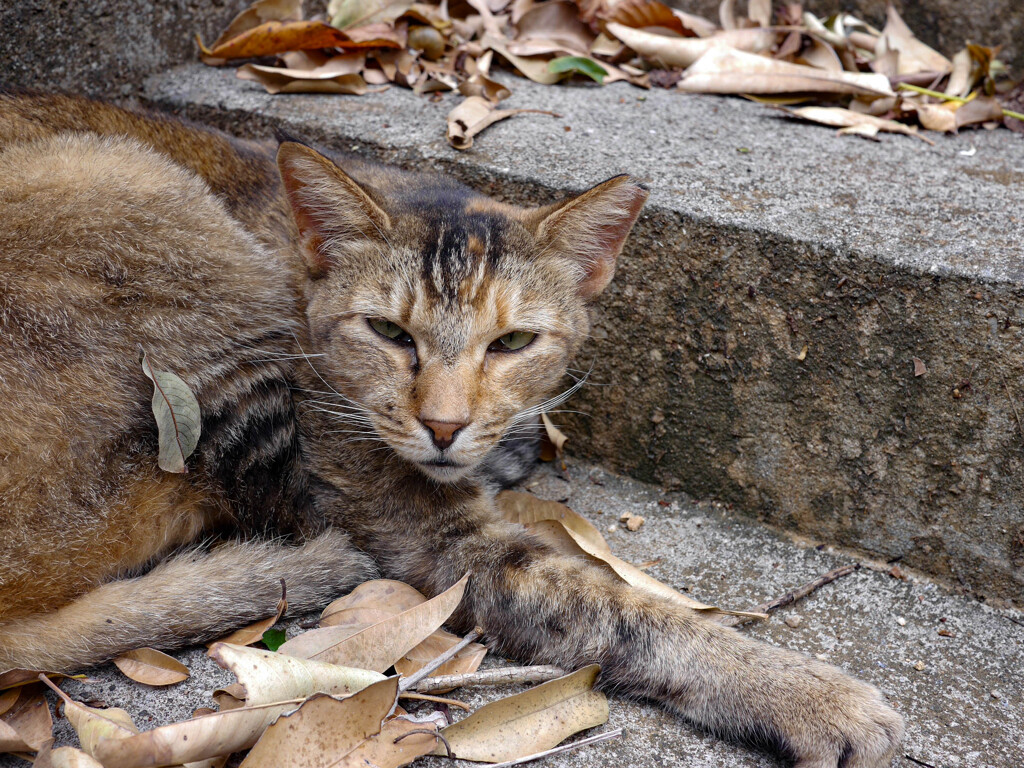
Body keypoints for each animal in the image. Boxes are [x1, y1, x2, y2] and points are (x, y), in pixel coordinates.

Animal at [0, 91, 897, 768]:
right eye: (388, 333)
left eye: (514, 342)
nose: (443, 424)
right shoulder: (439, 540)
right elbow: (625, 613)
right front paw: (802, 691)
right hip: (136, 189)